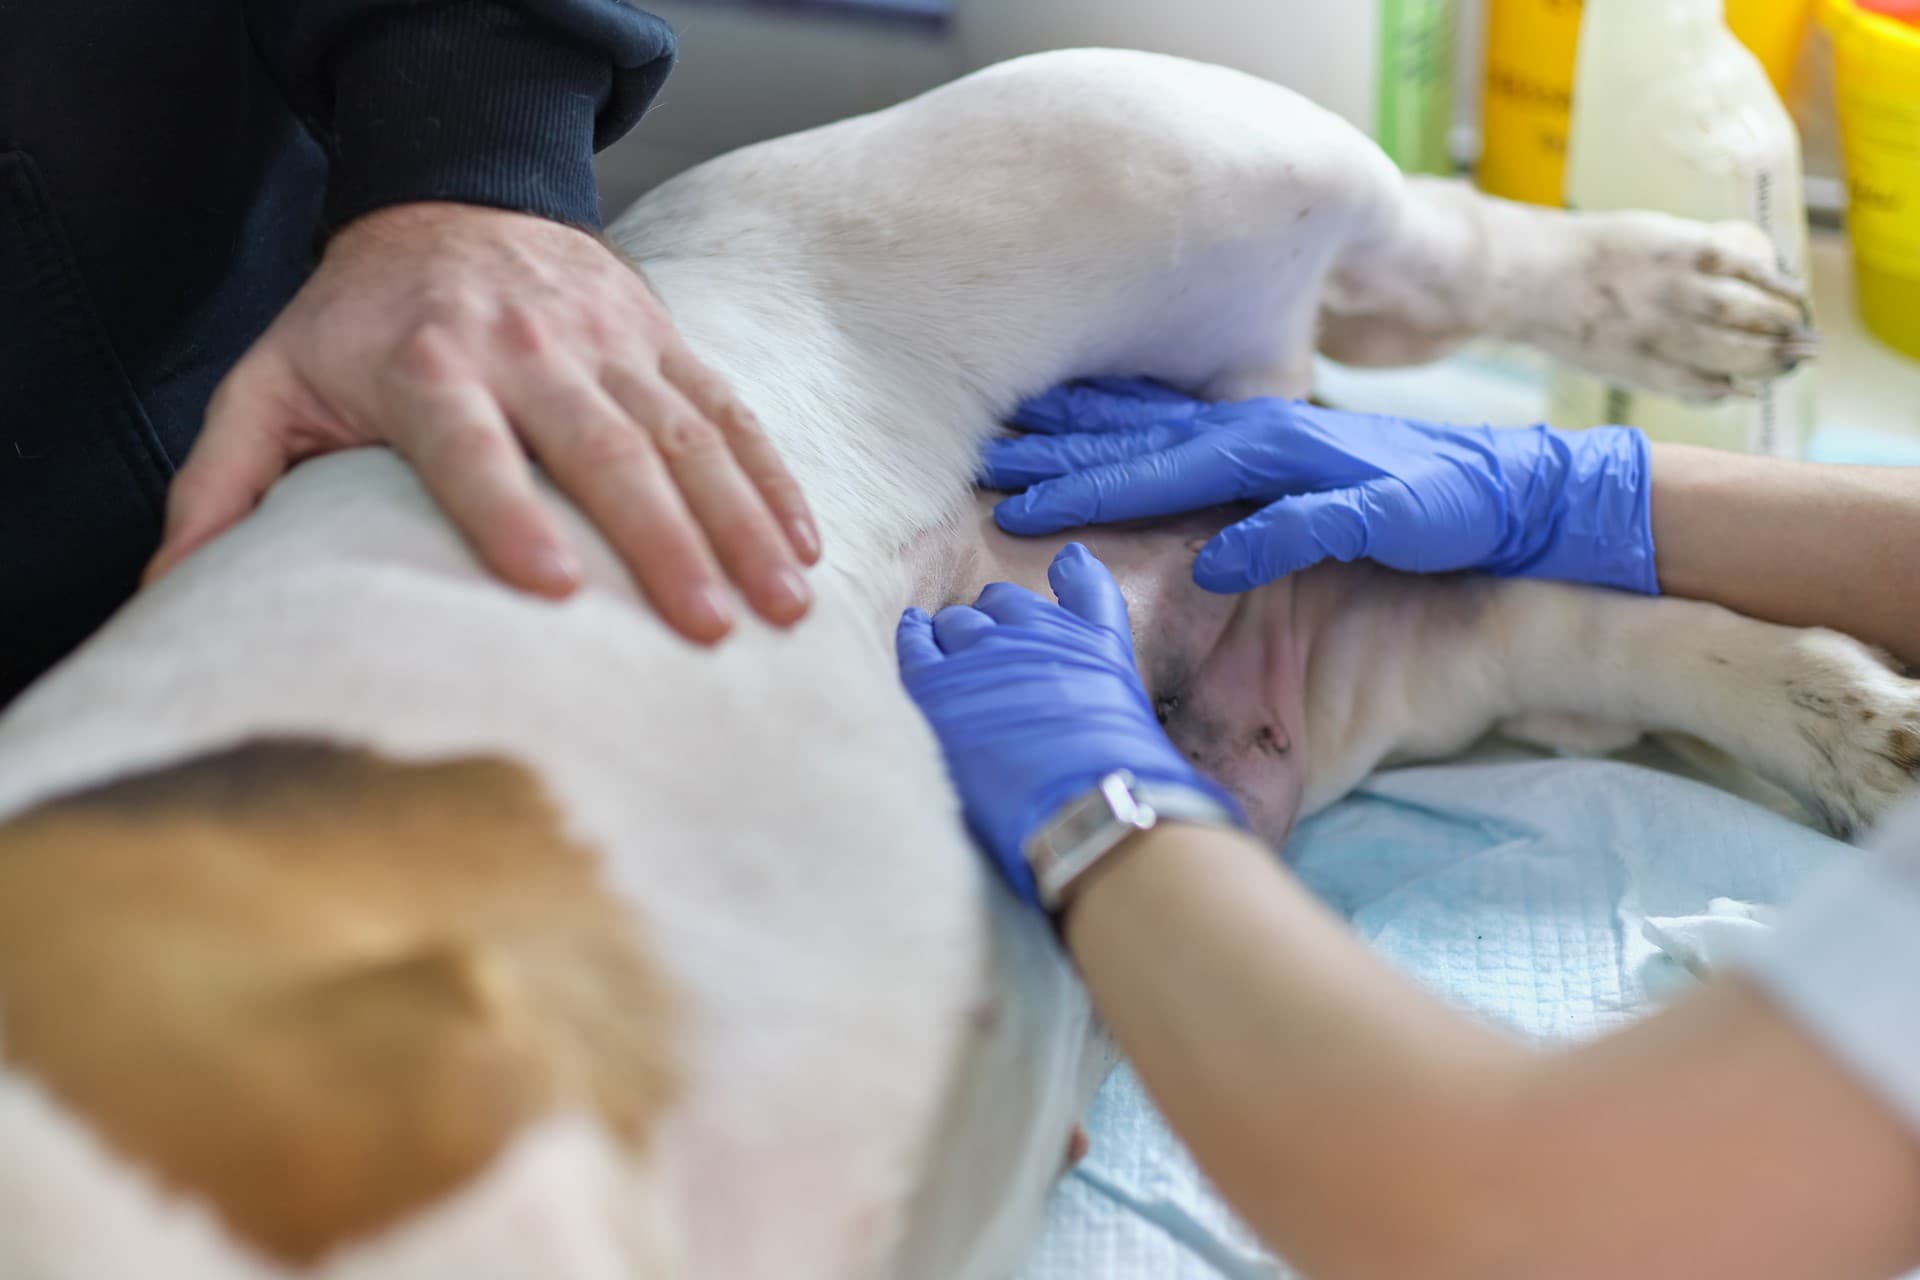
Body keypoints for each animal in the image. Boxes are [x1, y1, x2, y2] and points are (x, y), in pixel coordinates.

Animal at [3, 47, 1920, 1280]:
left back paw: (1686, 290)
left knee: (1432, 247)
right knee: (1554, 606)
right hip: (1336, 628)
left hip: (1162, 144)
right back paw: (1846, 716)